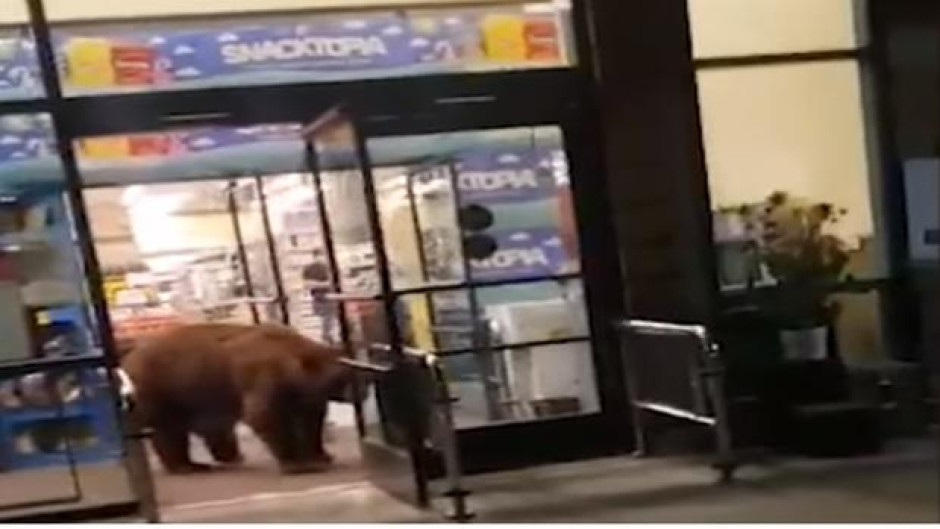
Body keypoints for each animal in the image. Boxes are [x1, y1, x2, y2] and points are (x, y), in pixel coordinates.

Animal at [120, 322, 354, 475]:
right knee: (170, 430)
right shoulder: (267, 375)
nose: (359, 389)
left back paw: (230, 456)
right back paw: (188, 466)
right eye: (345, 375)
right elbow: (264, 415)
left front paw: (321, 456)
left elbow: (311, 419)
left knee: (211, 427)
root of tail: (128, 358)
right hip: (162, 389)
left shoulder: (305, 393)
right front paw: (298, 464)